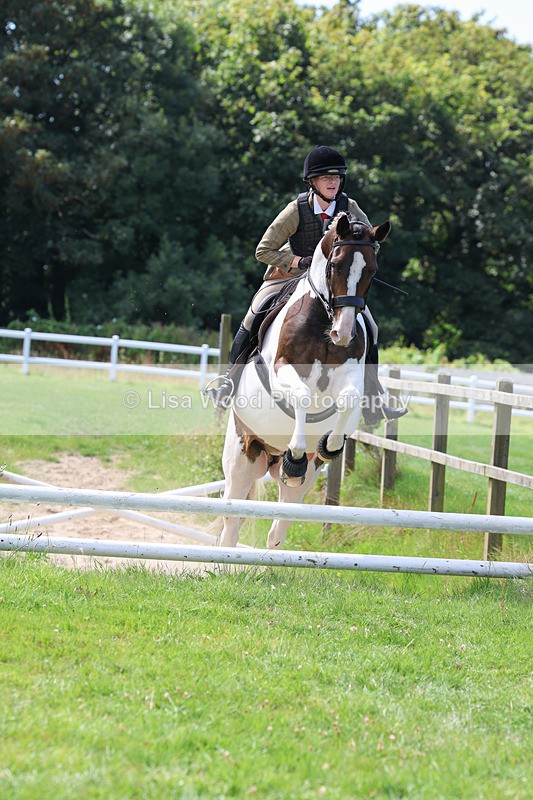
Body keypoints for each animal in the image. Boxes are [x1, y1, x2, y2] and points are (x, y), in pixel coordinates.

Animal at [219, 212, 391, 548]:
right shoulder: (281, 368)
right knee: (231, 524)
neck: (324, 320)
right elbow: (301, 395)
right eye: (335, 264)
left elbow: (348, 399)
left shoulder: (350, 375)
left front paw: (331, 446)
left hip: (300, 482)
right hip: (241, 459)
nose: (343, 334)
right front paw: (296, 452)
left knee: (277, 530)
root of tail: (271, 455)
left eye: (372, 270)